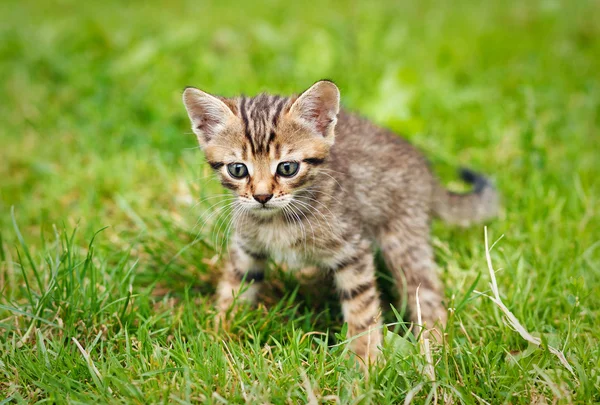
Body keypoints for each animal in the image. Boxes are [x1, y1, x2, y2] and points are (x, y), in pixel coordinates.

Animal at [182, 80, 496, 364]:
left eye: (287, 168)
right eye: (238, 169)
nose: (261, 196)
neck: (278, 220)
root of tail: (426, 170)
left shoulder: (352, 251)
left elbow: (362, 310)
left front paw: (365, 364)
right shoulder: (245, 249)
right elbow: (233, 289)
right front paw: (217, 336)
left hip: (403, 239)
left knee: (427, 293)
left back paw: (435, 347)